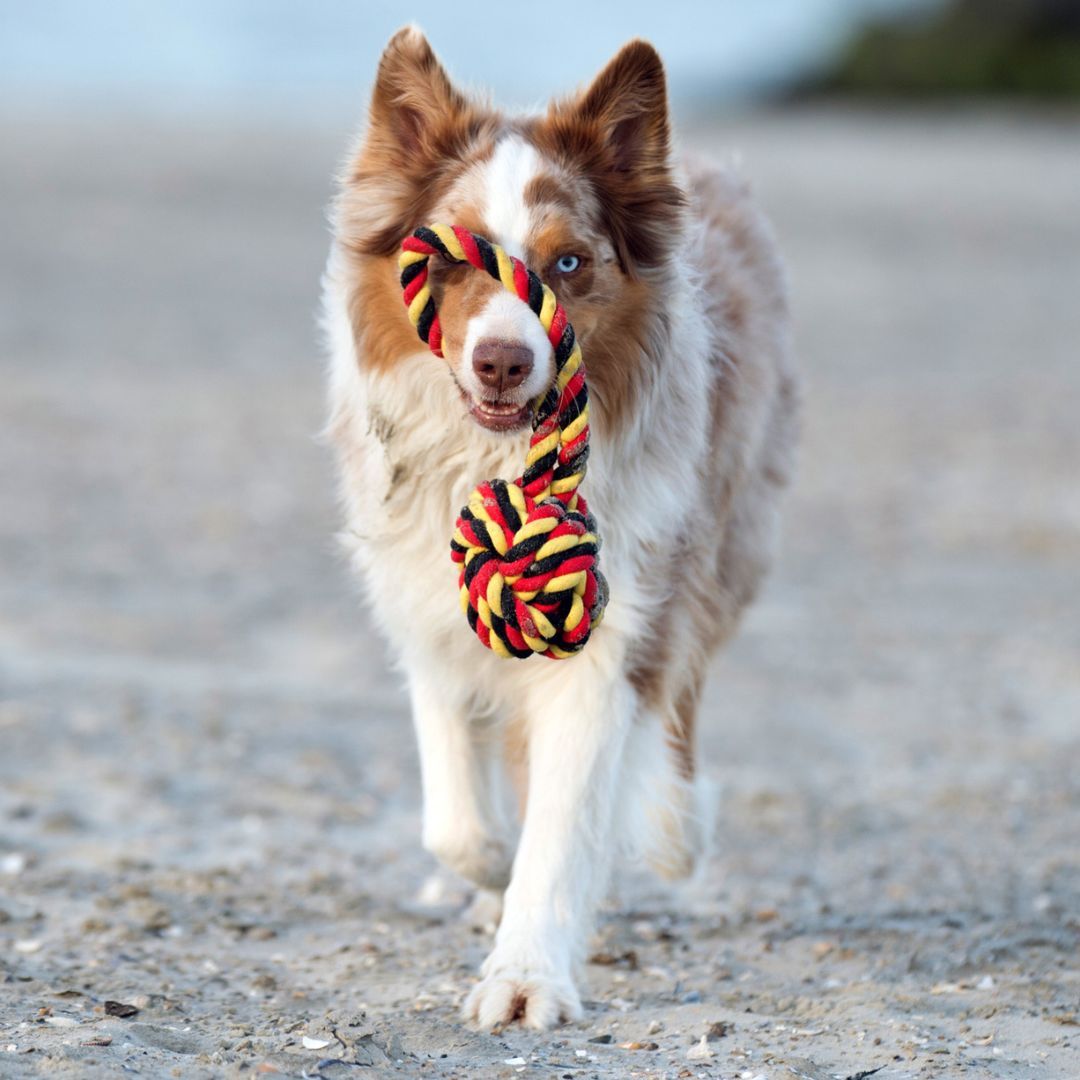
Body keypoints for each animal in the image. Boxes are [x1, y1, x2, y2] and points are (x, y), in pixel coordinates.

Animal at [319, 27, 794, 1028]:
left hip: (724, 536)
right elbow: (457, 821)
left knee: (679, 704)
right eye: (456, 258)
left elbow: (566, 813)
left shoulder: (612, 622)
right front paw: (487, 874)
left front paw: (526, 972)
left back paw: (670, 823)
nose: (503, 361)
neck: (493, 462)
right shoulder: (424, 606)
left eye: (569, 263)